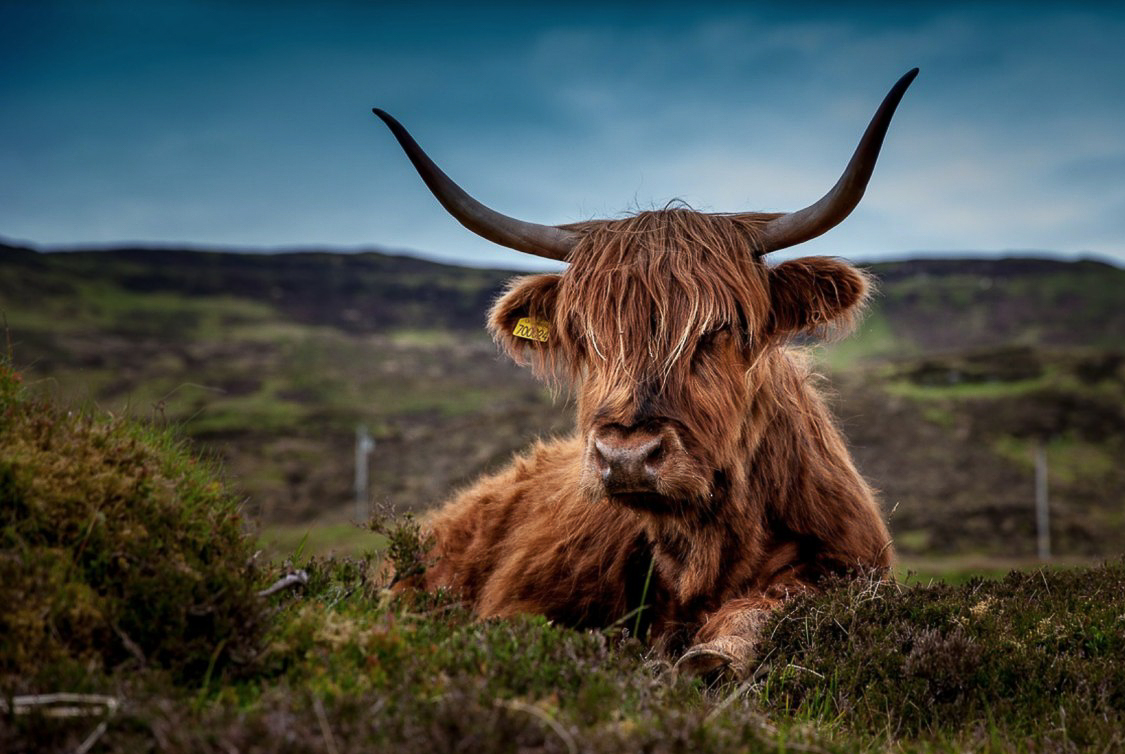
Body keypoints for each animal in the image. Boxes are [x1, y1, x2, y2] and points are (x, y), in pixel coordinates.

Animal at [373, 69, 918, 679]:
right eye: (585, 335)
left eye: (722, 327)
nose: (627, 456)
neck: (702, 550)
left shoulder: (850, 566)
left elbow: (776, 604)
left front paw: (714, 653)